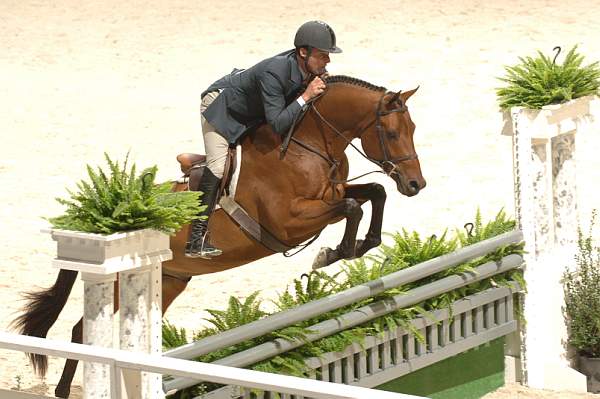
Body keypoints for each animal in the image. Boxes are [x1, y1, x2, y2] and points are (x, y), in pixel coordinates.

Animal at [11, 75, 424, 396]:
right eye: (391, 133)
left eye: (413, 130)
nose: (416, 185)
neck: (307, 144)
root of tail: (105, 225)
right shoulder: (290, 222)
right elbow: (354, 207)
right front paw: (333, 253)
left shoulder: (332, 196)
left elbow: (374, 193)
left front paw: (361, 245)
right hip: (117, 281)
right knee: (81, 330)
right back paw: (64, 391)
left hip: (168, 281)